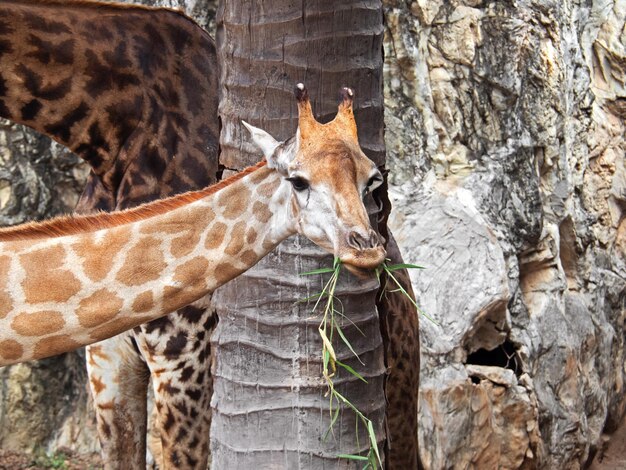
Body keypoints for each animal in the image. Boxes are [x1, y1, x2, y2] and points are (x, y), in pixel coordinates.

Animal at [0, 1, 420, 468]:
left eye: (374, 181)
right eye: (297, 181)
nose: (366, 249)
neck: (112, 141)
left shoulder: (186, 361)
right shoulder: (107, 359)